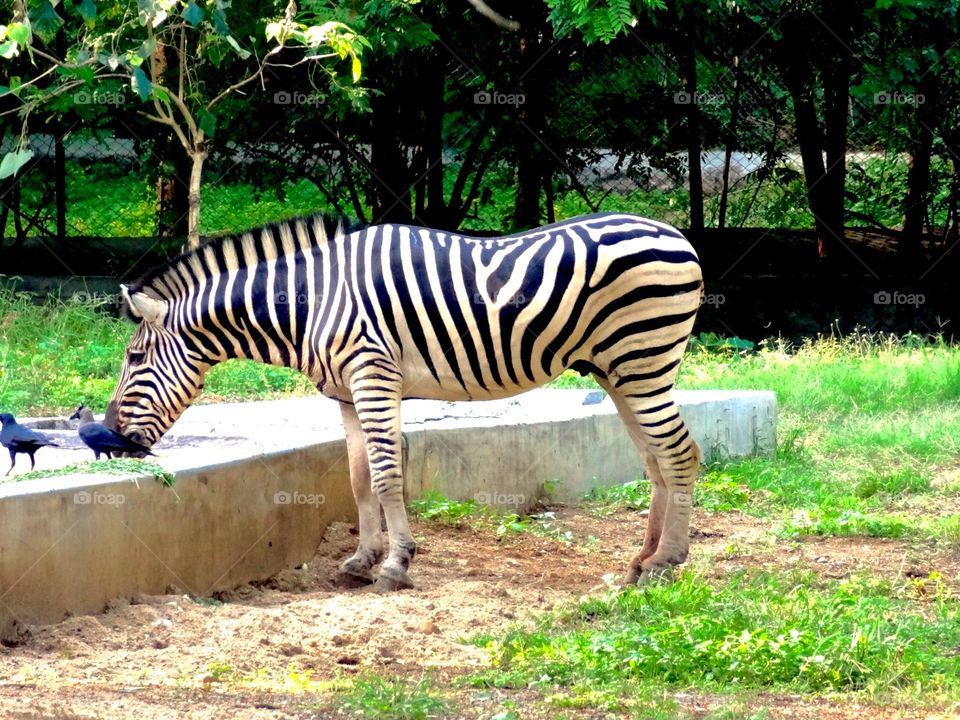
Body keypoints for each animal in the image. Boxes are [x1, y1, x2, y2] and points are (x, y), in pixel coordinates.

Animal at [107, 212, 704, 591]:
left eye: (134, 358)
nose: (110, 437)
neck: (310, 302)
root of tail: (676, 233)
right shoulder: (346, 393)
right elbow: (357, 477)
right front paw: (361, 559)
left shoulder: (374, 376)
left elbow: (388, 474)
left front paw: (395, 564)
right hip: (618, 371)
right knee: (655, 460)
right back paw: (641, 561)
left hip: (643, 360)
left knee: (680, 455)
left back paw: (667, 563)